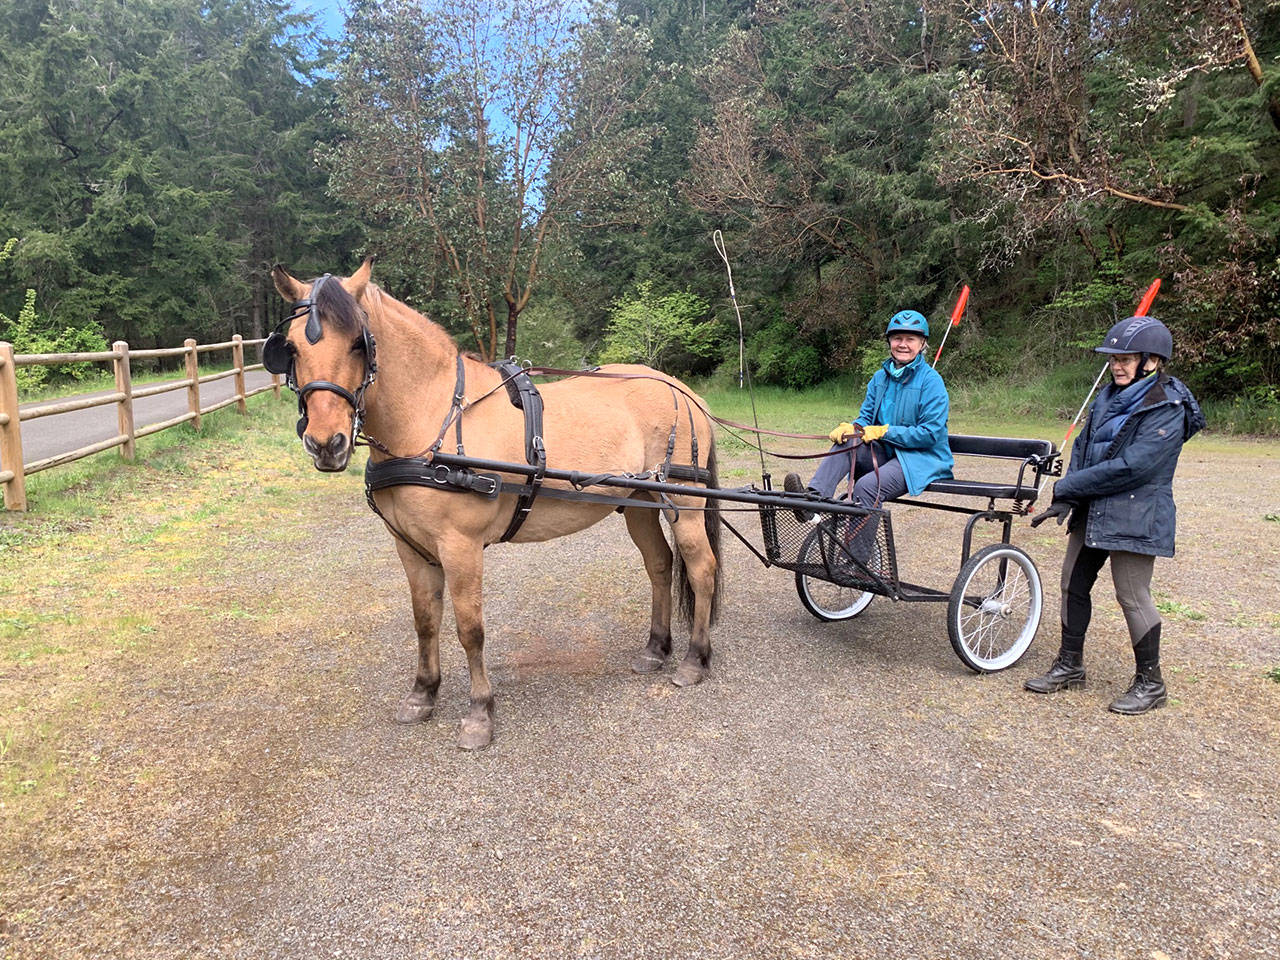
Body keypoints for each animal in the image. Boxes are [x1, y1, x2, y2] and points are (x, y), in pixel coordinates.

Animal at [267, 260, 722, 749]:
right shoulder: (410, 547)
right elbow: (425, 620)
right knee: (659, 566)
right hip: (640, 501)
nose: (325, 443)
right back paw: (656, 649)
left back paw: (694, 660)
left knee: (701, 568)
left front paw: (479, 713)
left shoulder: (460, 546)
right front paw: (422, 694)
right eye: (290, 347)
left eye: (358, 343)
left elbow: (470, 629)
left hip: (684, 500)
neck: (434, 420)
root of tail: (682, 390)